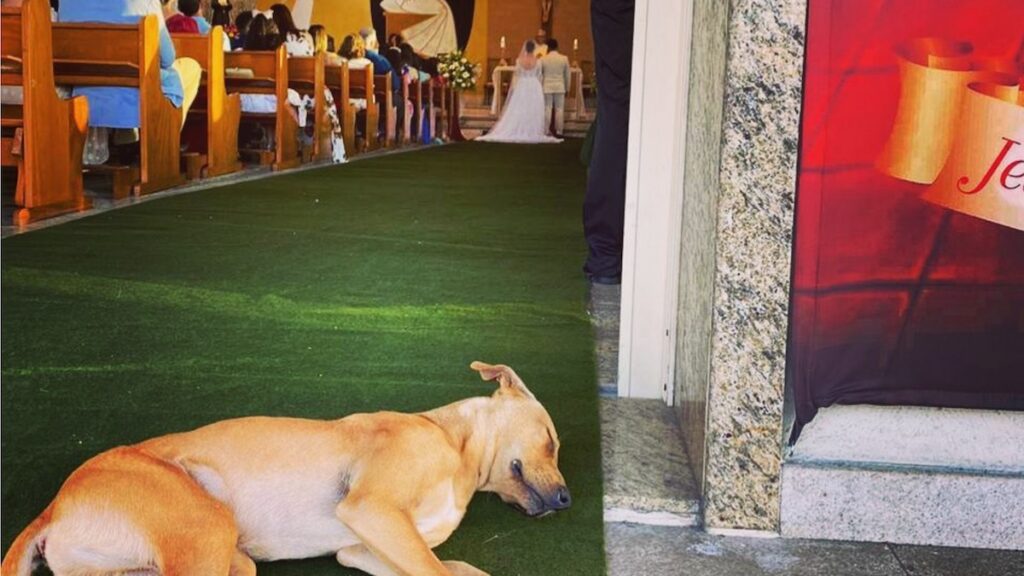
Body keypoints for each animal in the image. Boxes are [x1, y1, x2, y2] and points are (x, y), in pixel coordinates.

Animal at [0, 360, 569, 573]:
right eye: (551, 440)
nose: (567, 500)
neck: (453, 442)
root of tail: (53, 506)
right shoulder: (372, 509)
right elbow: (439, 571)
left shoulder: (360, 548)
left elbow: (455, 569)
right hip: (206, 525)